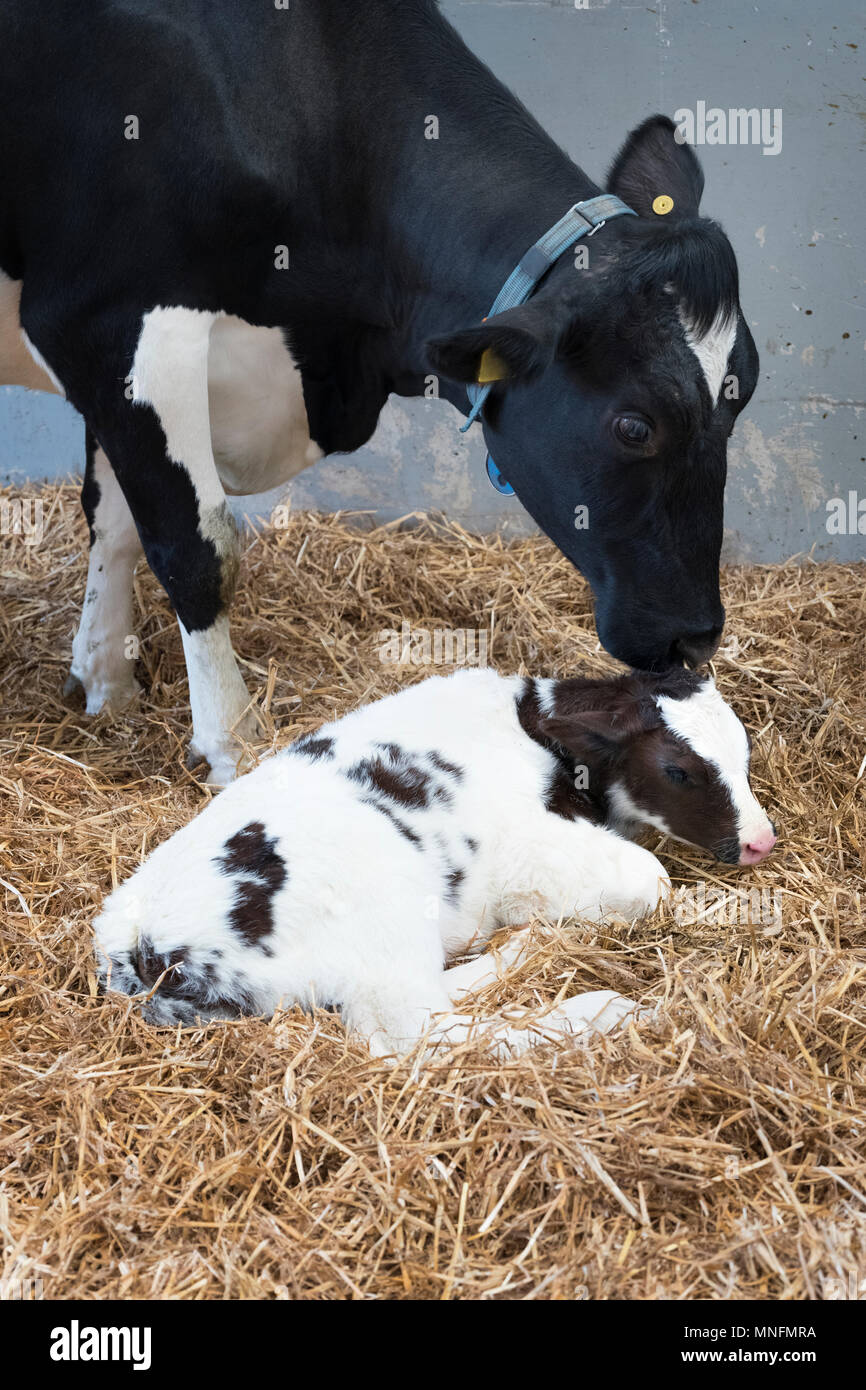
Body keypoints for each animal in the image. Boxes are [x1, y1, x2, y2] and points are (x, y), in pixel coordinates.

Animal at [0, 0, 759, 784]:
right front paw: (232, 742)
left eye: (745, 394)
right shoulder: (112, 319)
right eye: (635, 426)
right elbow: (196, 546)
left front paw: (105, 684)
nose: (696, 639)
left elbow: (113, 520)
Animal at [94, 666, 777, 1056]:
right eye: (678, 770)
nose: (760, 841)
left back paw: (522, 949)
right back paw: (598, 1010)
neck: (530, 726)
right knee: (421, 1033)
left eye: (743, 754)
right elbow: (653, 882)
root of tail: (137, 947)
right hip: (382, 923)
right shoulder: (531, 847)